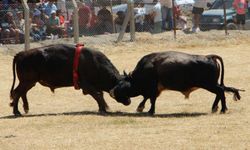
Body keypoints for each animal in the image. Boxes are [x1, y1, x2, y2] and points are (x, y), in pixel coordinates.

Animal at [110, 51, 244, 114]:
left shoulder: (153, 88)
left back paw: (222, 109)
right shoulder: (155, 90)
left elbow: (150, 98)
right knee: (221, 91)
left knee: (220, 91)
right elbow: (149, 98)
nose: (112, 92)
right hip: (211, 84)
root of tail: (209, 56)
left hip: (209, 84)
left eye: (121, 85)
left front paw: (147, 110)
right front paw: (143, 108)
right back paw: (215, 108)